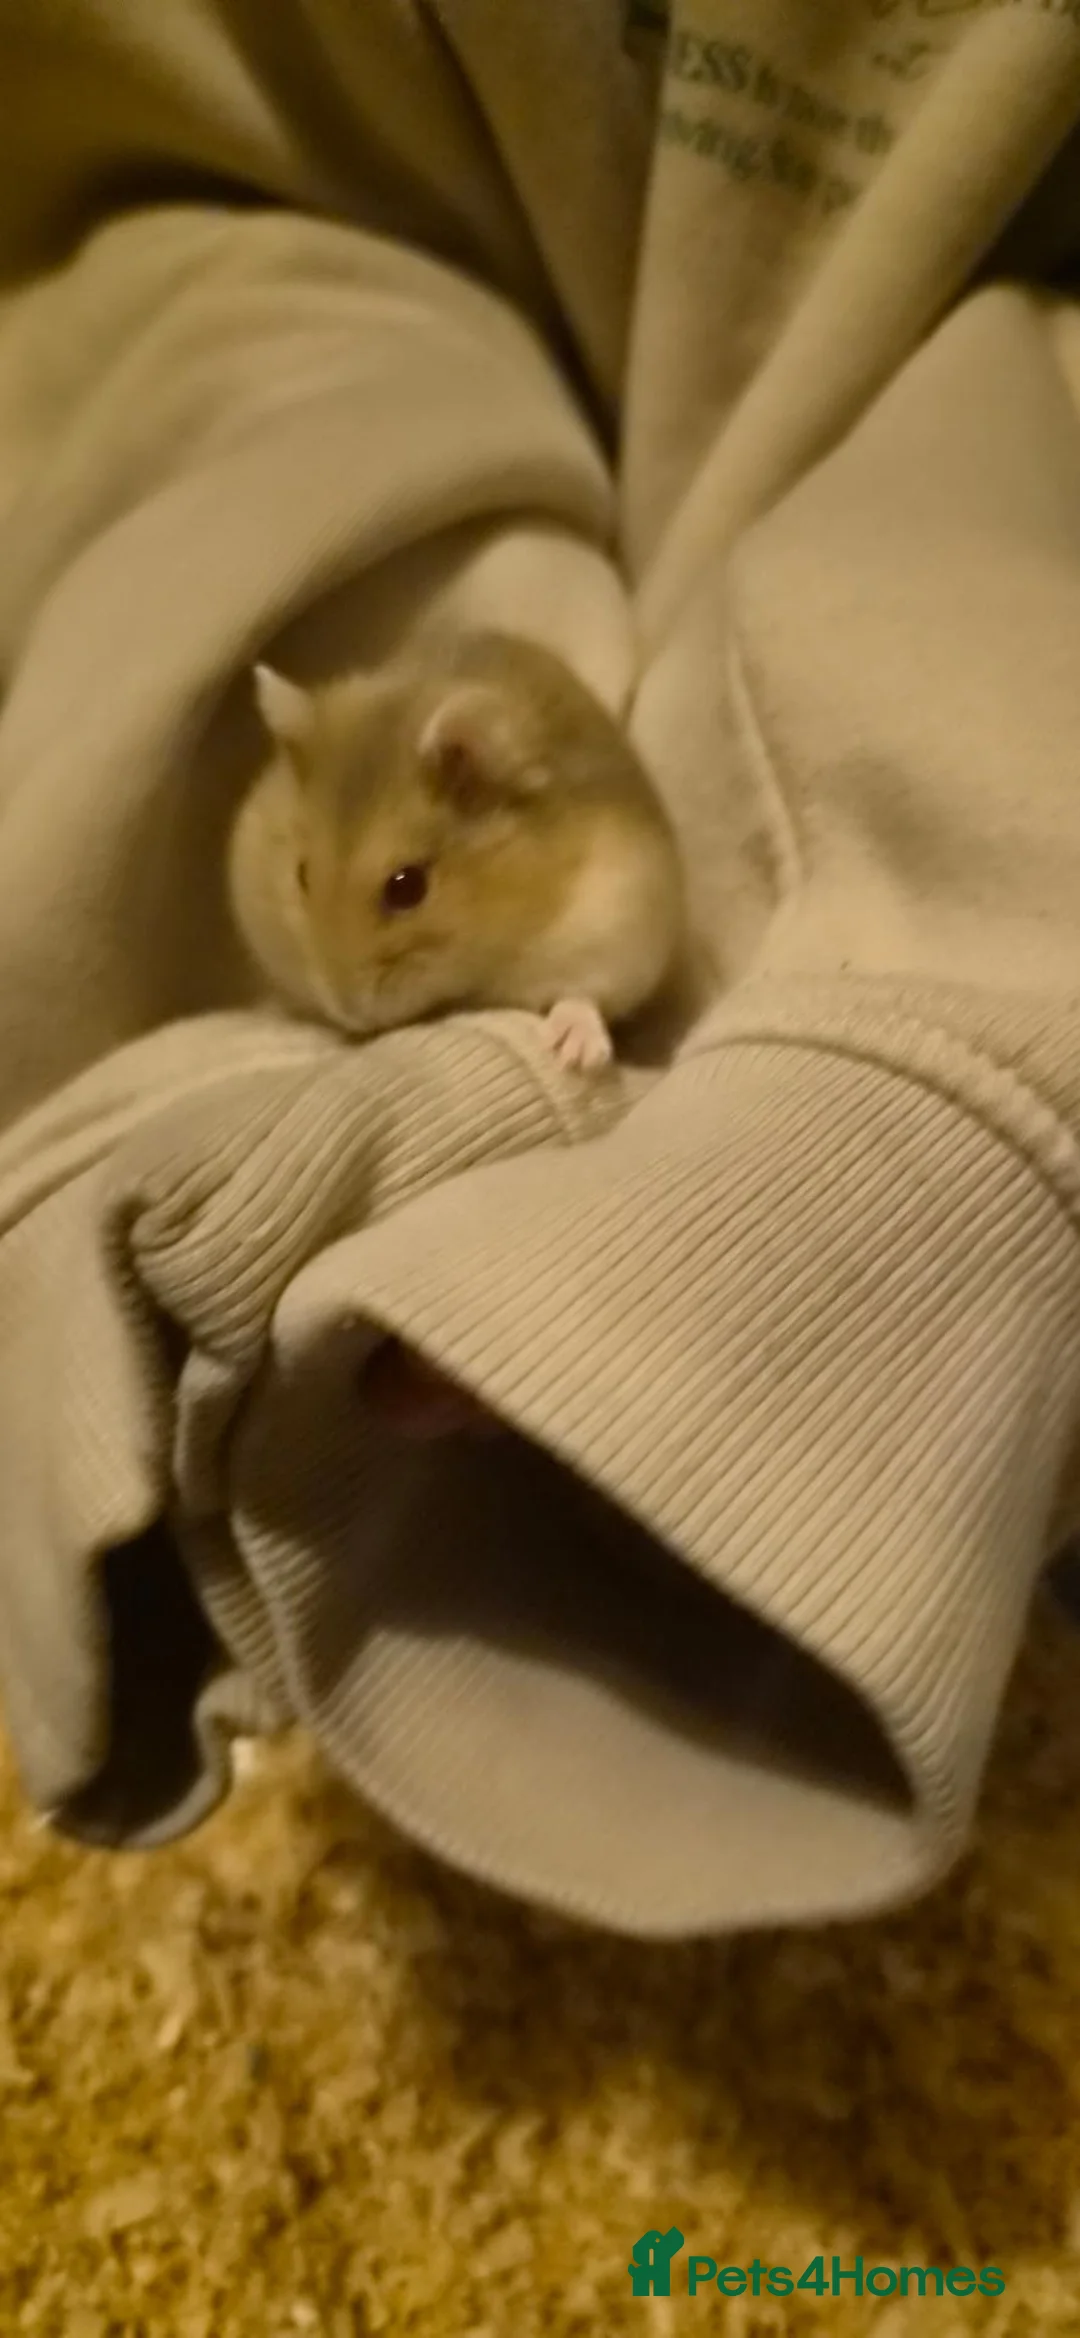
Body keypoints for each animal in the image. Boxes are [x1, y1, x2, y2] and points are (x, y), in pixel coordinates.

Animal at [227, 627, 686, 1072]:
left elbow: (583, 995)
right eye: (302, 875)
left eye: (407, 887)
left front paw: (576, 1056)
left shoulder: (618, 918)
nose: (348, 1013)